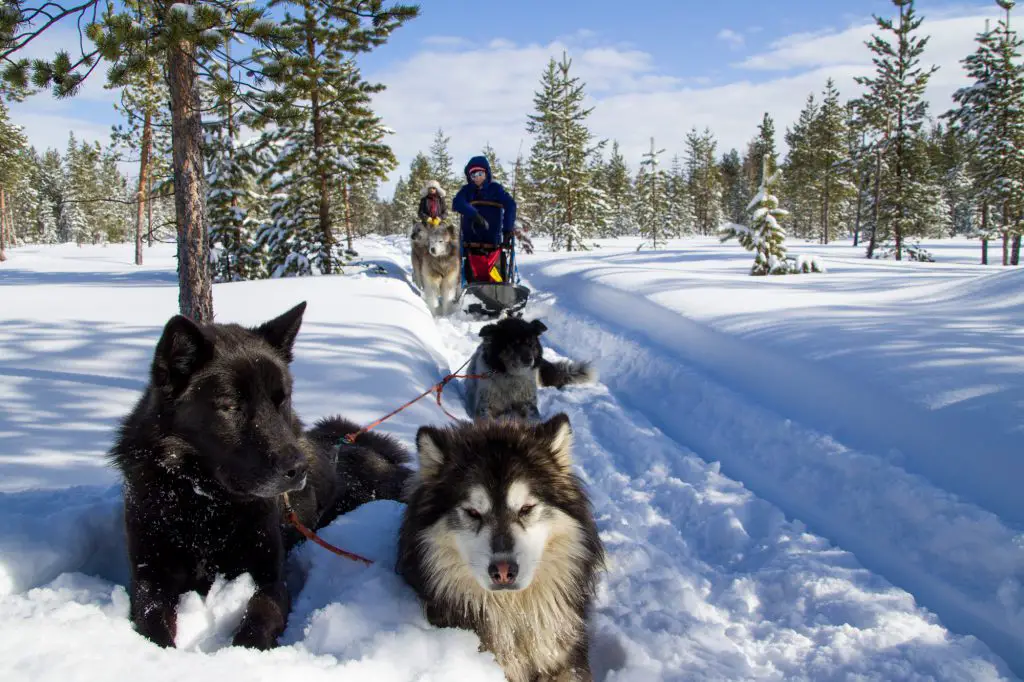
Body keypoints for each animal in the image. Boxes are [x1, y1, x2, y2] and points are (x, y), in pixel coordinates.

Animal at [109, 301, 411, 647]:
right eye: (230, 406)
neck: (206, 506)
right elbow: (152, 625)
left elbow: (258, 620)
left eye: (283, 399)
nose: (298, 469)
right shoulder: (151, 578)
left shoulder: (269, 578)